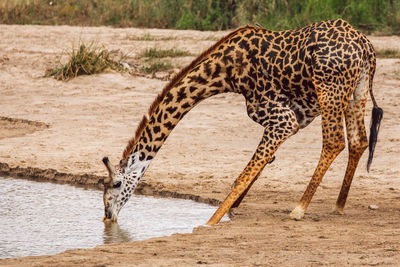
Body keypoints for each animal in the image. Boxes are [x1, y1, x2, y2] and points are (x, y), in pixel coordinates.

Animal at [101, 18, 382, 224]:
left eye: (116, 183)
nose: (107, 216)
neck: (226, 73)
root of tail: (366, 45)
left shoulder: (282, 119)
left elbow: (241, 175)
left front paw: (210, 222)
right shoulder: (294, 120)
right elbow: (261, 165)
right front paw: (231, 210)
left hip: (330, 90)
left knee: (334, 142)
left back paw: (299, 209)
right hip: (356, 91)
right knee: (359, 140)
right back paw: (339, 206)